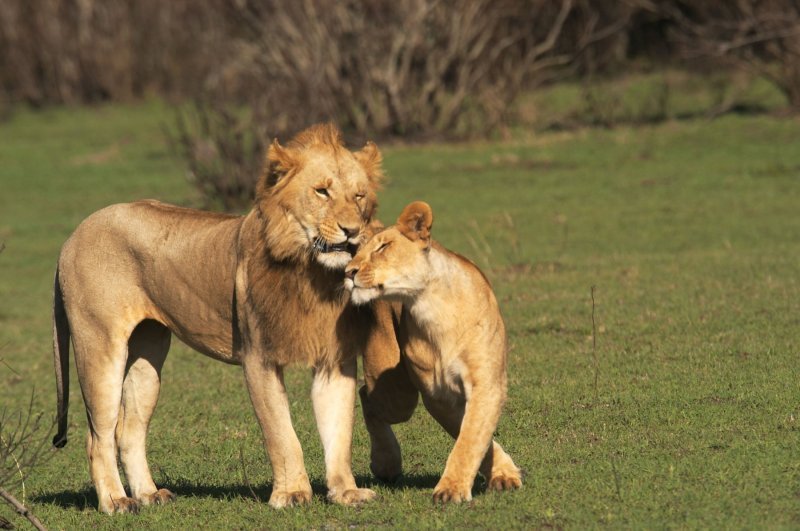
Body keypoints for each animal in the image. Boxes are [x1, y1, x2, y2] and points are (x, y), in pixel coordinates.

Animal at [54, 122, 384, 512]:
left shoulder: (334, 359)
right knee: (97, 435)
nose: (352, 231)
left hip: (147, 355)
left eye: (359, 196)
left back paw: (150, 495)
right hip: (100, 345)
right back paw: (116, 502)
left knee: (129, 431)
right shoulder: (258, 358)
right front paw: (291, 494)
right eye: (322, 191)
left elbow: (339, 430)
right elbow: (282, 433)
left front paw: (346, 492)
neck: (311, 273)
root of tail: (74, 235)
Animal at [346, 203, 520, 502]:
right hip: (397, 394)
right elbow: (468, 437)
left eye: (383, 247)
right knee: (365, 393)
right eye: (357, 251)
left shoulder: (486, 384)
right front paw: (458, 487)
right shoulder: (437, 394)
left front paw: (487, 478)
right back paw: (386, 462)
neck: (431, 305)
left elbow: (472, 436)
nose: (348, 272)